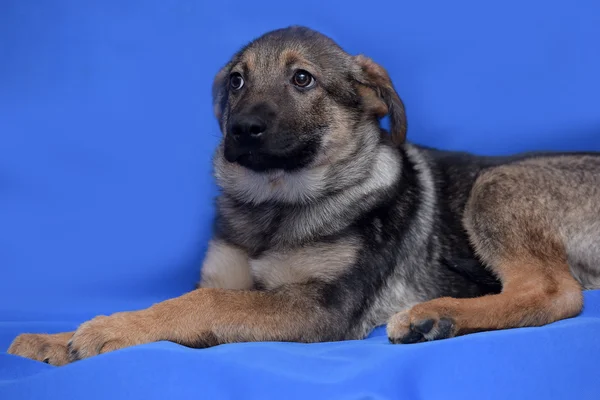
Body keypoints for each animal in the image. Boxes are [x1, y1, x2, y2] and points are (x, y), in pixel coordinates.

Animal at [5, 25, 600, 366]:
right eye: (237, 81)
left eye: (302, 79)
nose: (240, 131)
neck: (275, 203)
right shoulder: (236, 278)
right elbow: (189, 300)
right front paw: (56, 339)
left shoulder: (320, 308)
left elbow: (200, 305)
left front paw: (110, 328)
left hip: (496, 185)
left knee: (556, 294)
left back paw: (435, 316)